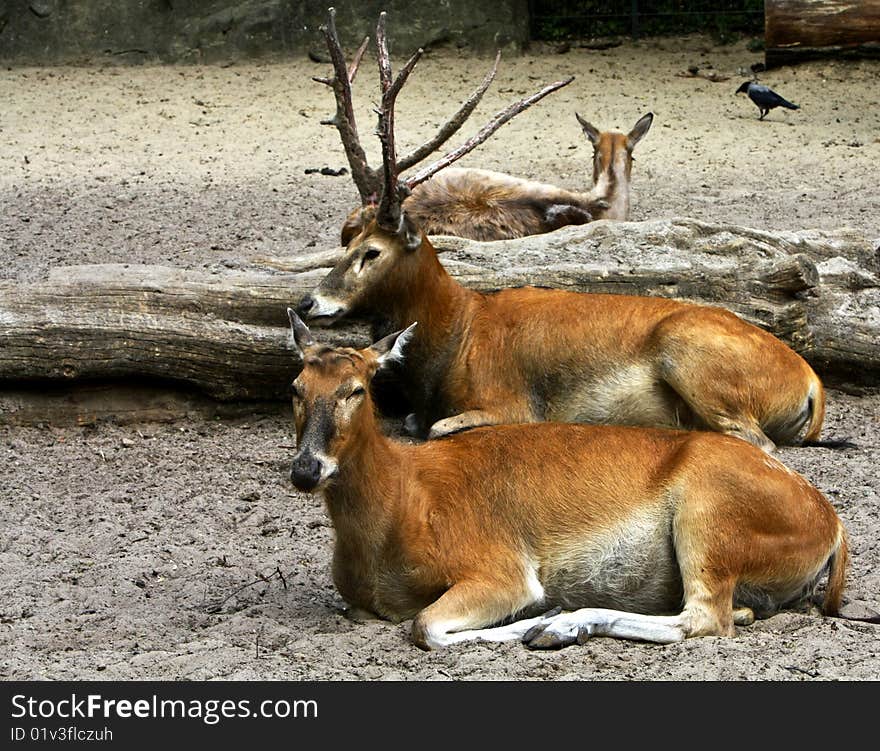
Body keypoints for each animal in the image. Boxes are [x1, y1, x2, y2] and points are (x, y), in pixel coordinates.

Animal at [286, 312, 848, 652]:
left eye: (357, 388)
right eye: (296, 387)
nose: (306, 469)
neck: (402, 498)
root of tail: (833, 524)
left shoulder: (500, 571)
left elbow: (424, 626)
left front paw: (541, 616)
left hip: (707, 520)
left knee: (705, 618)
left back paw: (560, 625)